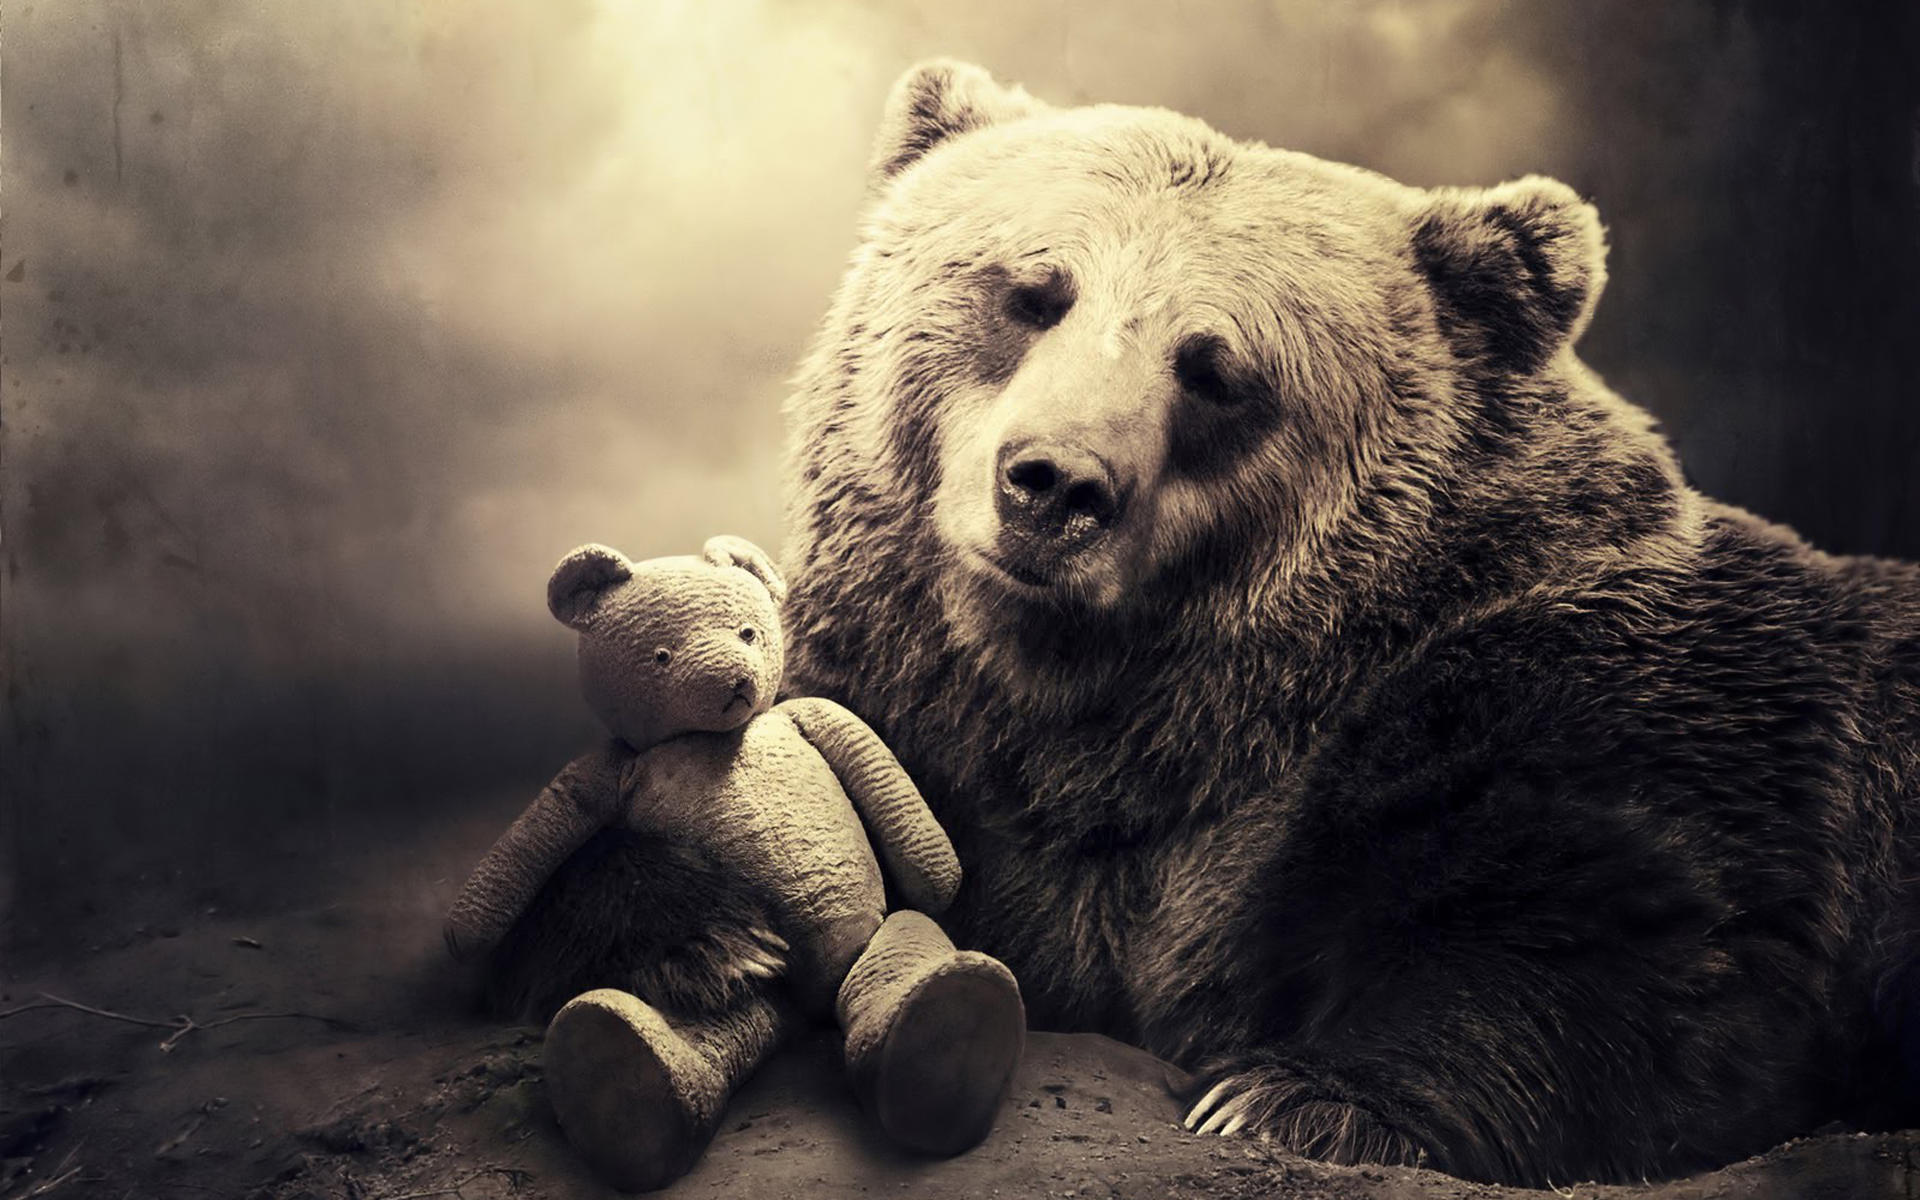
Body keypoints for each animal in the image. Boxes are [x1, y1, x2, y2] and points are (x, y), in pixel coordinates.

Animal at [777, 59, 1920, 1186]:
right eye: (1030, 292)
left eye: (1216, 368)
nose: (1056, 483)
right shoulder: (957, 753)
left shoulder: (1596, 691)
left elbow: (1616, 937)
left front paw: (1286, 1099)